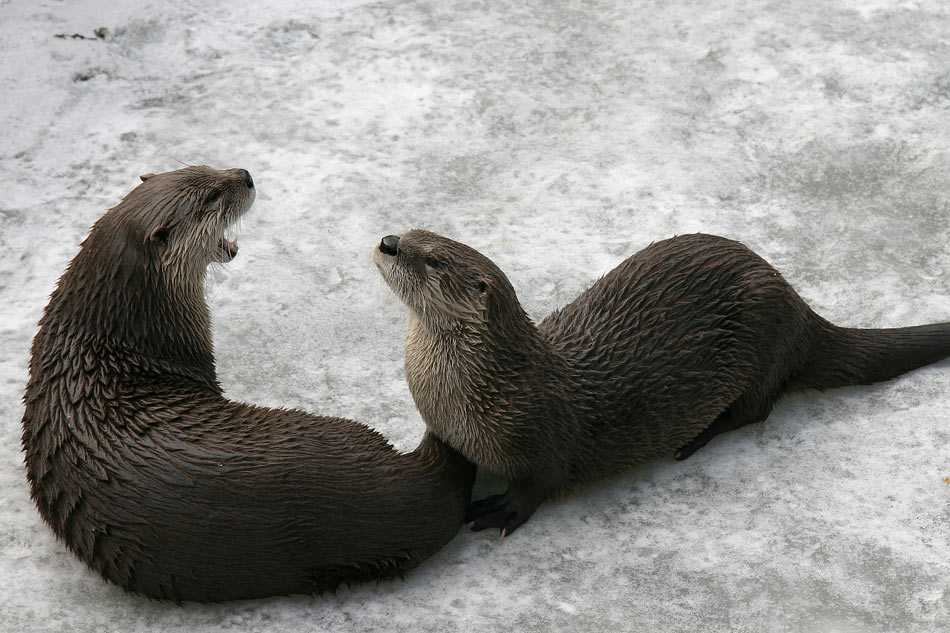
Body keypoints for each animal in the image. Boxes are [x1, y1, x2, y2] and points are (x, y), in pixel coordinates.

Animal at [376, 230, 950, 536]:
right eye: (413, 231)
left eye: (431, 259)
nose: (388, 242)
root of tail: (798, 306)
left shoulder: (542, 433)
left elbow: (539, 483)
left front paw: (502, 508)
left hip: (762, 337)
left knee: (756, 408)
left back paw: (697, 437)